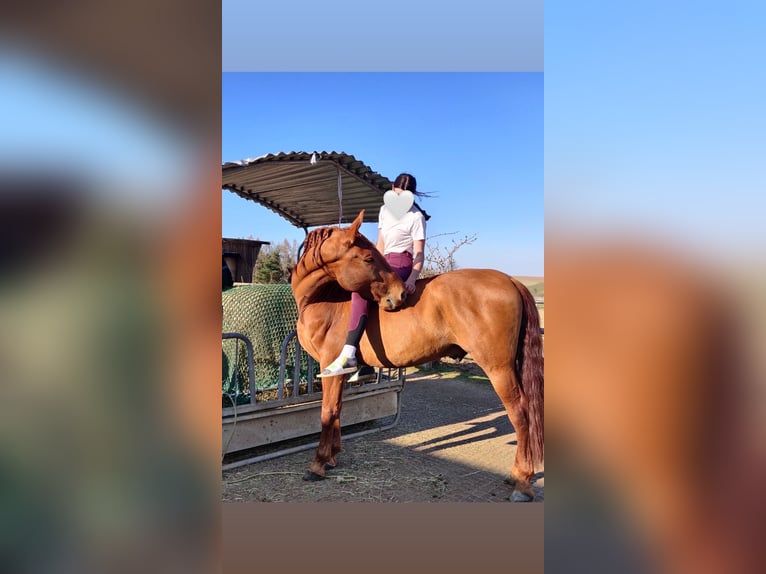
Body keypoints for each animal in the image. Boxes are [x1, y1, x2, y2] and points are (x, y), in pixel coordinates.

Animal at [290, 210, 544, 501]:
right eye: (368, 258)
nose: (399, 294)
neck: (324, 299)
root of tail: (511, 279)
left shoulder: (329, 367)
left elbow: (327, 411)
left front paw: (318, 463)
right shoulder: (339, 375)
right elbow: (339, 409)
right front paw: (332, 457)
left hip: (498, 368)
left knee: (520, 413)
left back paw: (522, 482)